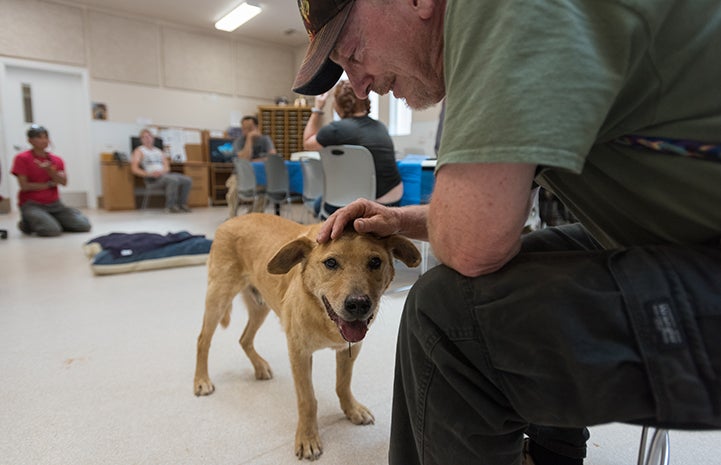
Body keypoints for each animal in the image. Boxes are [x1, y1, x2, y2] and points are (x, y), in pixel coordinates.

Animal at [193, 212, 422, 458]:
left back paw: (259, 366)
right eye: (331, 263)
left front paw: (352, 410)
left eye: (375, 262)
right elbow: (307, 400)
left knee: (244, 339)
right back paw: (202, 380)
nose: (358, 304)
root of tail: (233, 218)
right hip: (218, 298)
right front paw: (308, 437)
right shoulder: (299, 353)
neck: (323, 316)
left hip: (261, 305)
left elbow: (343, 384)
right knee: (203, 340)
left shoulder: (349, 349)